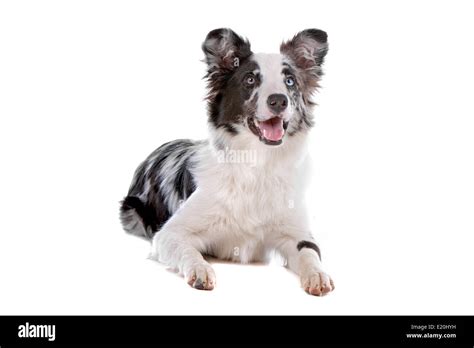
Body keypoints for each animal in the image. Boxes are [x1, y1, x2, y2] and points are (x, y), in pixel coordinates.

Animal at [118, 27, 334, 296]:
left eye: (290, 81)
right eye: (250, 80)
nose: (278, 100)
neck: (258, 164)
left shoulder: (297, 233)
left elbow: (309, 254)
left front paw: (317, 275)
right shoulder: (170, 233)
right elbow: (188, 250)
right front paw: (201, 269)